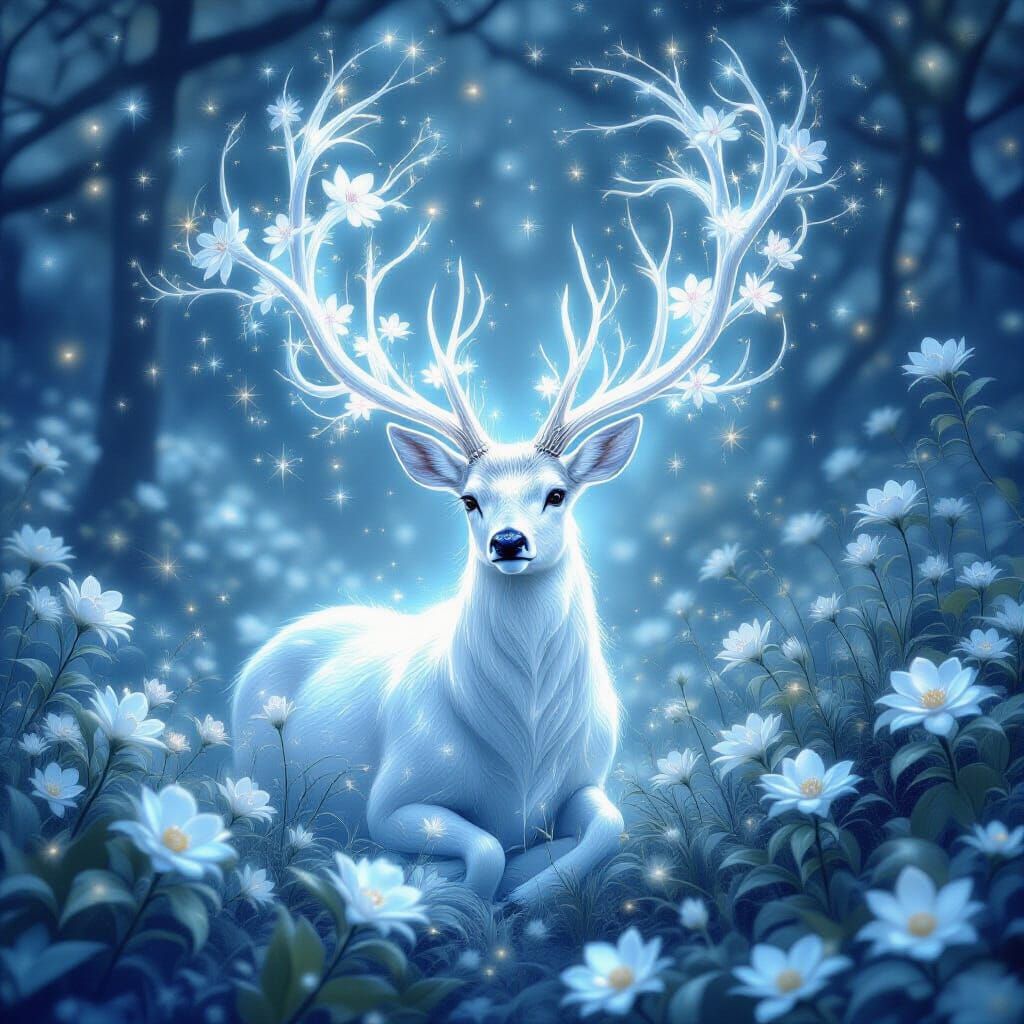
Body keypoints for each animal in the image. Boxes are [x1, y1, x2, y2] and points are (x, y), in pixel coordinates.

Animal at [146, 41, 834, 906]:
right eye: (469, 500)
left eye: (557, 492)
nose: (510, 542)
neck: (524, 753)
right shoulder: (394, 793)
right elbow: (478, 856)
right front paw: (437, 883)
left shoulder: (593, 773)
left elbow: (604, 829)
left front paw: (534, 884)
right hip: (255, 763)